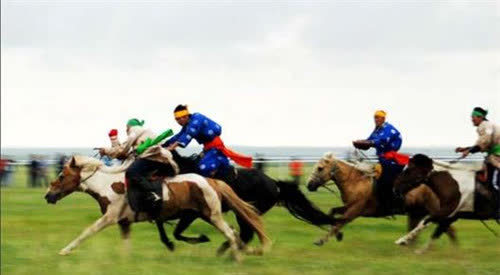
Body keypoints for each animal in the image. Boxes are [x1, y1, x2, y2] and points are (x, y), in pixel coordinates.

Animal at [44, 156, 270, 262]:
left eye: (62, 176)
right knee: (234, 232)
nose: (48, 195)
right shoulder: (124, 222)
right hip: (198, 215)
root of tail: (212, 181)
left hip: (211, 215)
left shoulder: (110, 218)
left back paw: (238, 258)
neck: (108, 185)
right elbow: (126, 245)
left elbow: (86, 232)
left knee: (231, 234)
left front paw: (64, 250)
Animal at [159, 150, 336, 256]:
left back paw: (230, 250)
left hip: (248, 211)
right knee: (246, 233)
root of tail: (275, 184)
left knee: (247, 233)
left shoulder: (192, 213)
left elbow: (177, 231)